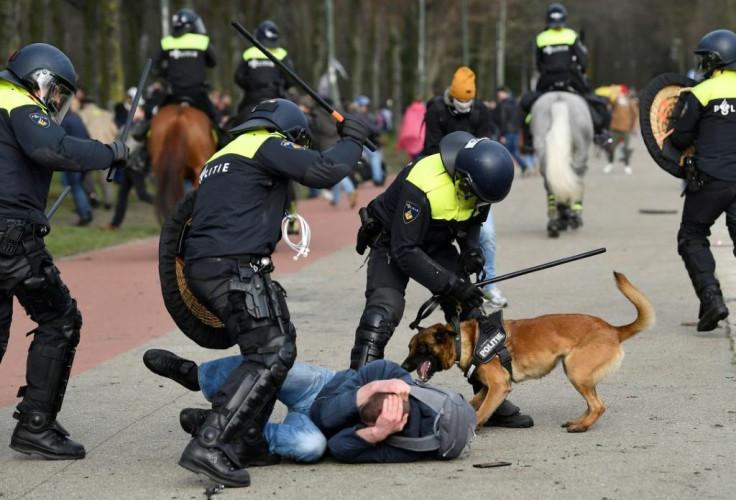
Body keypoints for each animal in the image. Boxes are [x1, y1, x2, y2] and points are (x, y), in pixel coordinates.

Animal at [402, 272, 656, 432]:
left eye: (421, 347)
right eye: (409, 347)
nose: (403, 367)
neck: (465, 340)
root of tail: (612, 329)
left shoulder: (499, 385)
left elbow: (481, 412)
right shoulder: (490, 386)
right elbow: (475, 401)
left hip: (576, 371)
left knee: (598, 405)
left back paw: (581, 426)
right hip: (574, 370)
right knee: (592, 404)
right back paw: (578, 421)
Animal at [528, 92, 592, 238]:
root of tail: (559, 99)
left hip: (542, 147)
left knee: (550, 183)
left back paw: (554, 223)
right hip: (580, 151)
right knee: (578, 176)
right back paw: (574, 216)